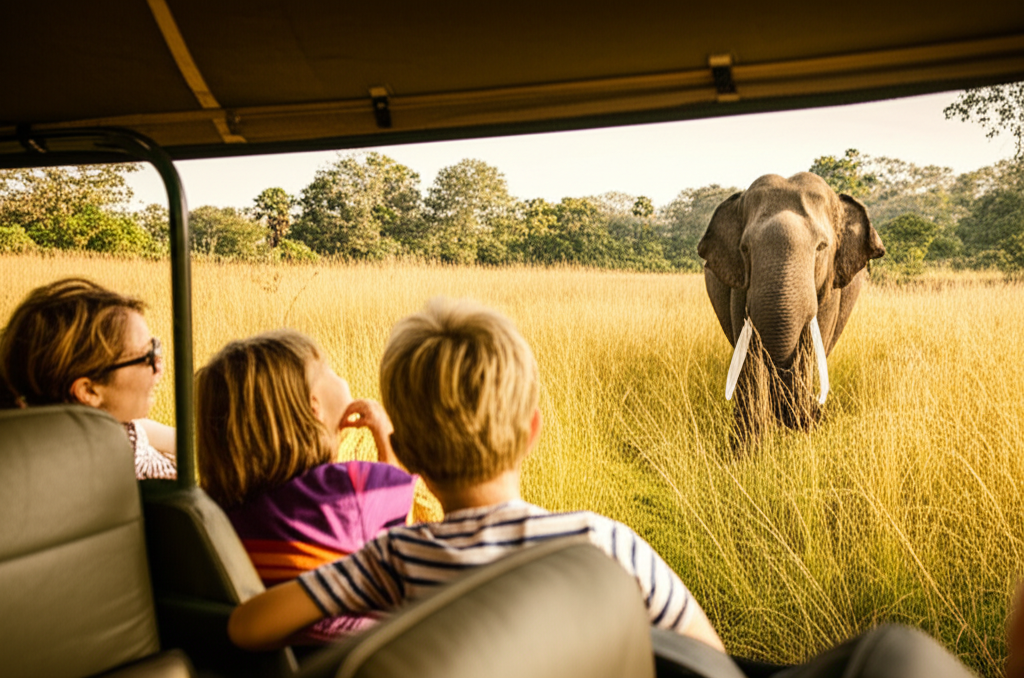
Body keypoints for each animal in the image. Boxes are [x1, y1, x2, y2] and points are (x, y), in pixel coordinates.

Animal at [697, 172, 885, 439]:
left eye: (822, 247)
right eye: (745, 249)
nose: (815, 415)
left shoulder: (831, 292)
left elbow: (811, 346)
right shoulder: (738, 288)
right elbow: (749, 353)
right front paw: (749, 442)